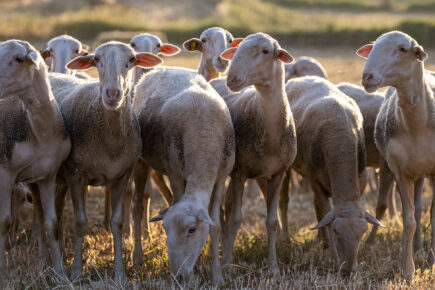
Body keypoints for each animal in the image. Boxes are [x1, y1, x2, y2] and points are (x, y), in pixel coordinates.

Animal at [0, 39, 70, 278]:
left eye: (18, 59)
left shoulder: (48, 175)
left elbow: (52, 224)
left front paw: (60, 272)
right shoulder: (6, 173)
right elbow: (4, 222)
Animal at [133, 65, 235, 284]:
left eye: (192, 230)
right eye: (165, 230)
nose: (178, 276)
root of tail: (162, 67)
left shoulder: (221, 177)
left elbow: (215, 225)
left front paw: (217, 276)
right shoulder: (176, 174)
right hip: (140, 159)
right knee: (137, 206)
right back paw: (137, 258)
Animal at [220, 32, 298, 274]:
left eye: (265, 51)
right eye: (237, 48)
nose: (231, 79)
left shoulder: (278, 174)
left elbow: (271, 222)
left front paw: (273, 267)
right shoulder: (239, 173)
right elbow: (236, 218)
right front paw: (228, 264)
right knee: (225, 210)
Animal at [358, 30, 435, 280]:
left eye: (402, 49)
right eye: (373, 47)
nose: (367, 77)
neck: (416, 124)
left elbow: (431, 215)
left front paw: (432, 261)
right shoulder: (401, 173)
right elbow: (408, 220)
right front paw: (407, 270)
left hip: (422, 172)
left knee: (420, 209)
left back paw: (421, 250)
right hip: (393, 168)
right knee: (389, 206)